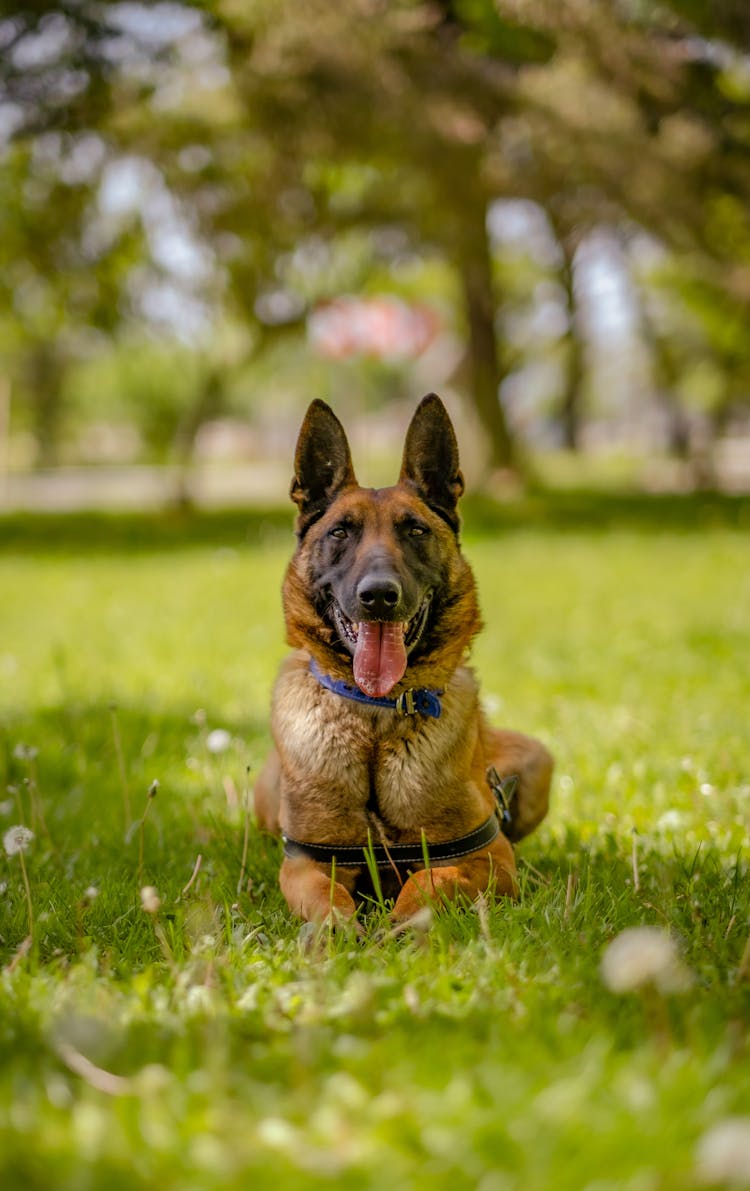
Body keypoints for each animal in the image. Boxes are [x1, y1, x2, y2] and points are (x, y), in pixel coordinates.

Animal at [255, 395, 554, 924]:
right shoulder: (307, 865)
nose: (378, 596)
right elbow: (327, 903)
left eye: (415, 530)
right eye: (340, 533)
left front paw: (404, 924)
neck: (376, 720)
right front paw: (336, 934)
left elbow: (431, 880)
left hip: (537, 764)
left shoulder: (490, 858)